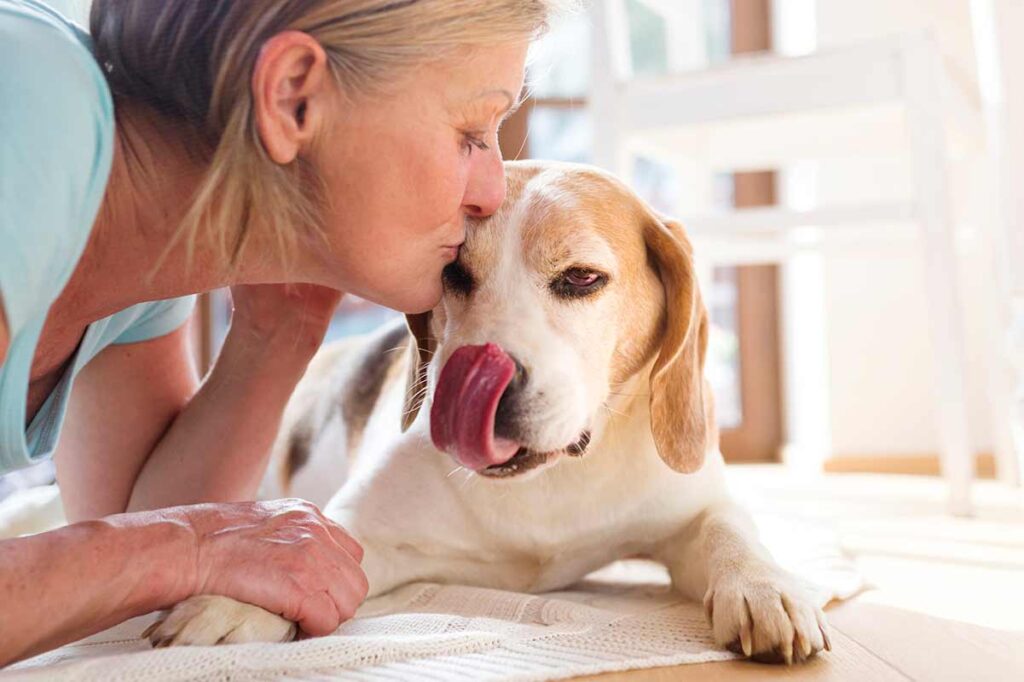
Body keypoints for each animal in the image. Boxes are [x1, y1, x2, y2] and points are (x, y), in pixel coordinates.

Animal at [146, 159, 831, 659]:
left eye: (581, 278)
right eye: (453, 272)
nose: (480, 387)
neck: (554, 479)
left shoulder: (692, 509)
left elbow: (728, 529)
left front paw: (765, 587)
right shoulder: (365, 523)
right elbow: (312, 541)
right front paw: (244, 598)